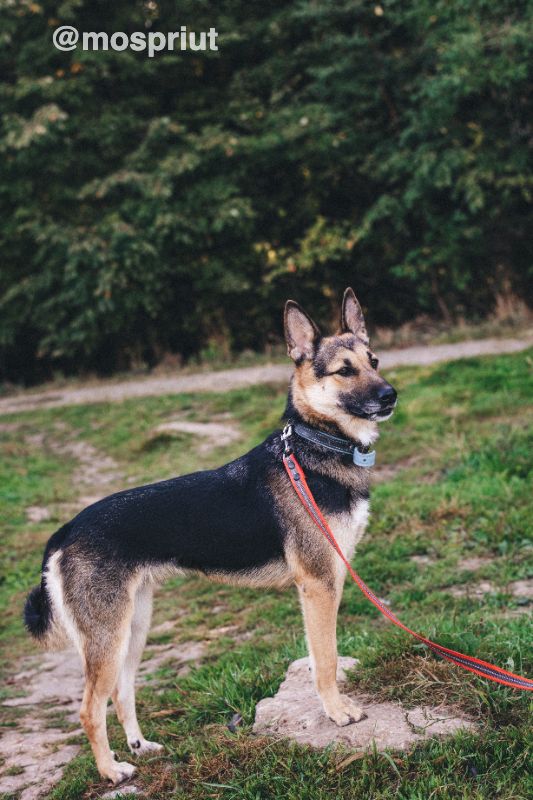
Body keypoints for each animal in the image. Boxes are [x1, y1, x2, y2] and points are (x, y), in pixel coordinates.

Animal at [25, 288, 396, 780]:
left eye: (374, 361)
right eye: (345, 370)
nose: (391, 394)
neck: (313, 445)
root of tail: (65, 531)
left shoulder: (323, 584)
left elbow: (321, 657)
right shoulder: (319, 585)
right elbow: (327, 659)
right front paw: (337, 712)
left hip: (133, 626)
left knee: (121, 692)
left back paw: (140, 746)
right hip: (107, 638)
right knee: (88, 709)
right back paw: (111, 770)